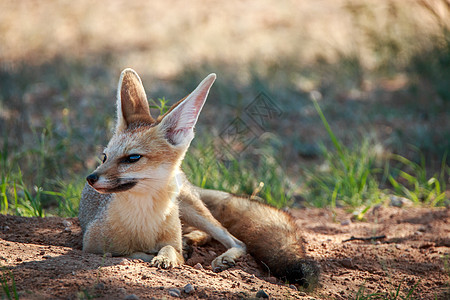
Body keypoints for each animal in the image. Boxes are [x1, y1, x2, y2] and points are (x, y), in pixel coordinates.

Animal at [80, 68, 320, 288]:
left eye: (132, 158)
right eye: (104, 157)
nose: (90, 178)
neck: (143, 221)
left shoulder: (170, 239)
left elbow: (171, 249)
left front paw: (166, 257)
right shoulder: (91, 247)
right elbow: (129, 253)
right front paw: (155, 254)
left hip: (193, 209)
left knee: (237, 241)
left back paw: (220, 255)